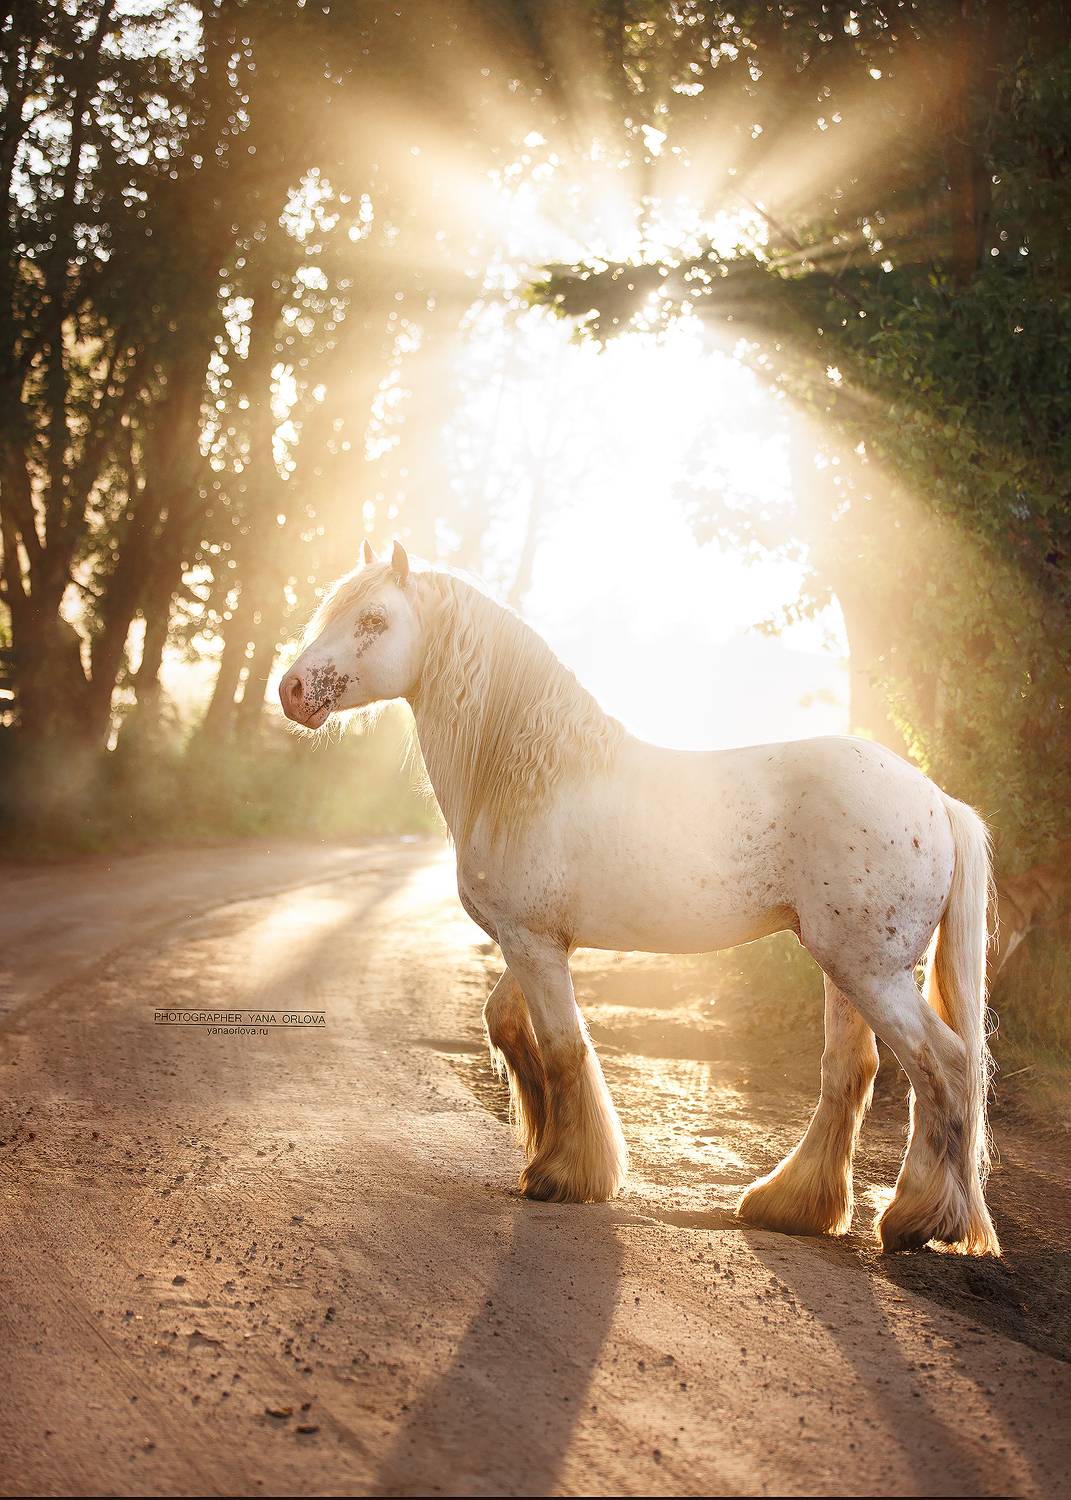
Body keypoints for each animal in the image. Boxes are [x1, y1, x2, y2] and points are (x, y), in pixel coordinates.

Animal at [279, 539, 1001, 1257]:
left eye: (373, 618)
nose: (290, 691)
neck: (533, 775)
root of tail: (937, 801)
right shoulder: (532, 943)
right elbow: (508, 1025)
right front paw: (543, 1144)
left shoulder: (533, 942)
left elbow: (564, 1045)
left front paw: (565, 1174)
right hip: (842, 966)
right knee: (850, 1071)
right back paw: (792, 1205)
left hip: (870, 972)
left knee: (943, 1063)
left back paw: (918, 1219)